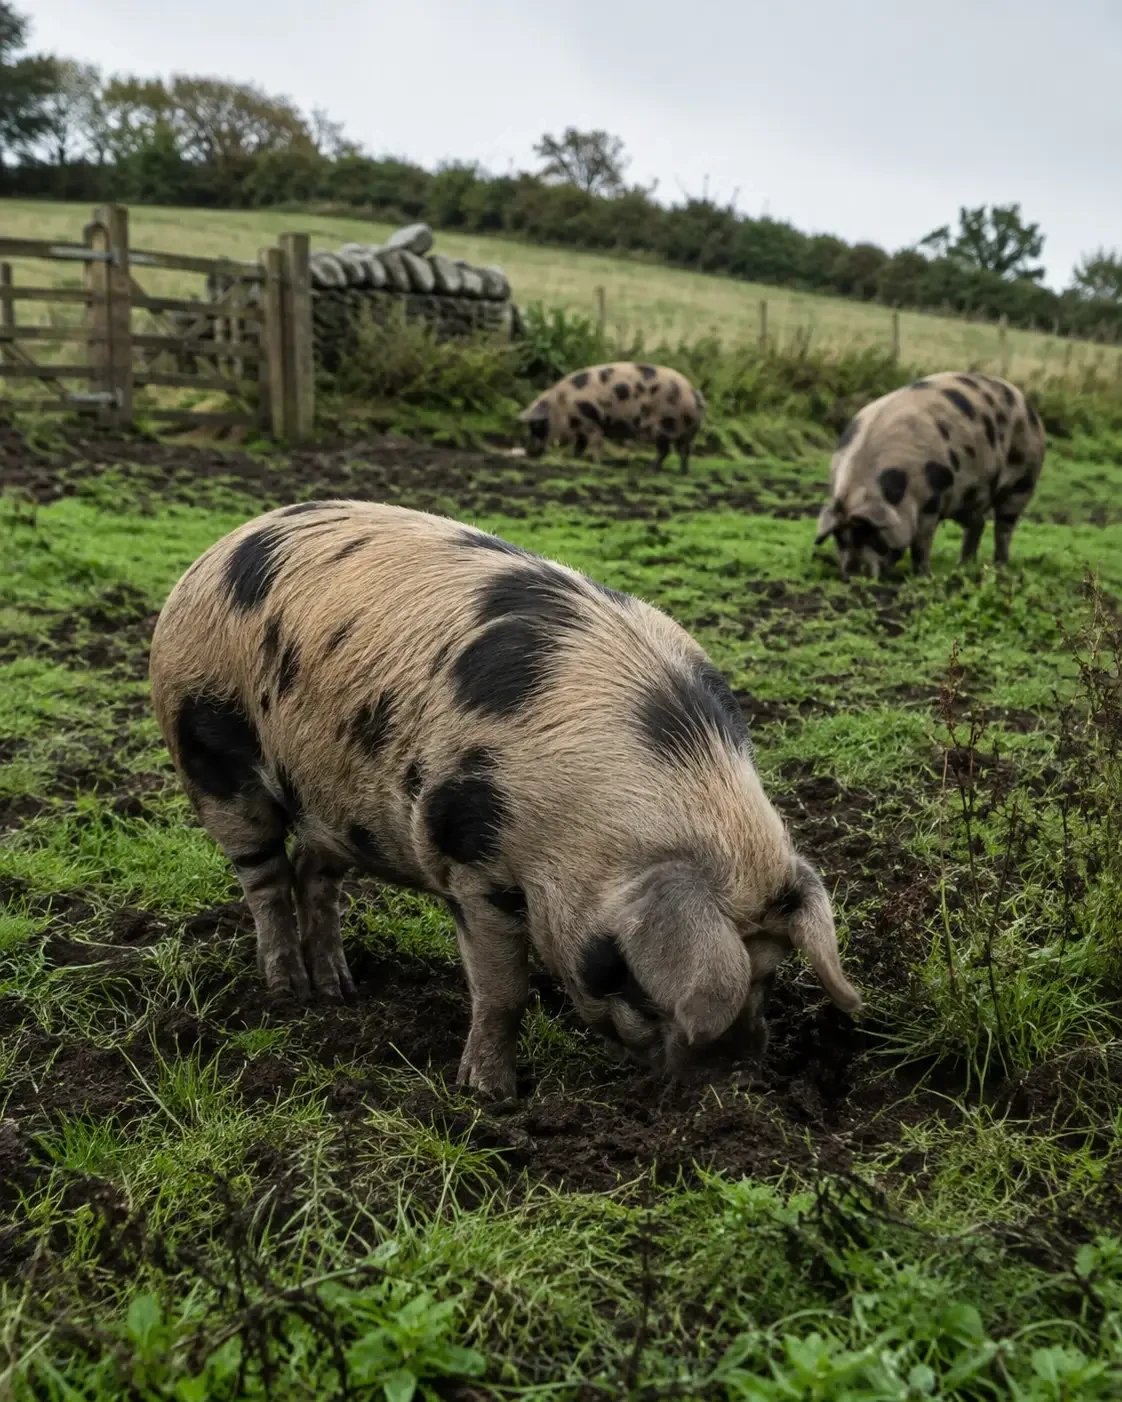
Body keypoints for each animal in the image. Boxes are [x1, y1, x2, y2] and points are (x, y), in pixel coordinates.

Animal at [149, 501, 862, 1099]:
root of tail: (214, 551)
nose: (736, 1081)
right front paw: (489, 1095)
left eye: (769, 975)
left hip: (341, 806)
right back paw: (289, 992)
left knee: (312, 871)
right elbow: (503, 991)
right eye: (645, 982)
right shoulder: (474, 868)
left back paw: (339, 990)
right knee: (264, 877)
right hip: (208, 747)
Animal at [518, 362, 706, 473]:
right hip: (687, 431)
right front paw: (575, 458)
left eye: (537, 425)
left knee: (667, 450)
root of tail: (693, 392)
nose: (528, 451)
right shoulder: (582, 426)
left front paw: (596, 463)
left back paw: (652, 469)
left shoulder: (591, 421)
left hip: (664, 426)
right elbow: (580, 444)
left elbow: (595, 442)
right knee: (683, 451)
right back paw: (681, 472)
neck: (562, 405)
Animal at [814, 371, 1046, 580]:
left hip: (1024, 479)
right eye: (840, 539)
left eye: (868, 533)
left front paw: (924, 576)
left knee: (1004, 527)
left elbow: (921, 543)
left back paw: (999, 567)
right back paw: (963, 566)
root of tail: (1027, 403)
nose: (852, 575)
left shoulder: (932, 500)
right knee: (978, 524)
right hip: (971, 494)